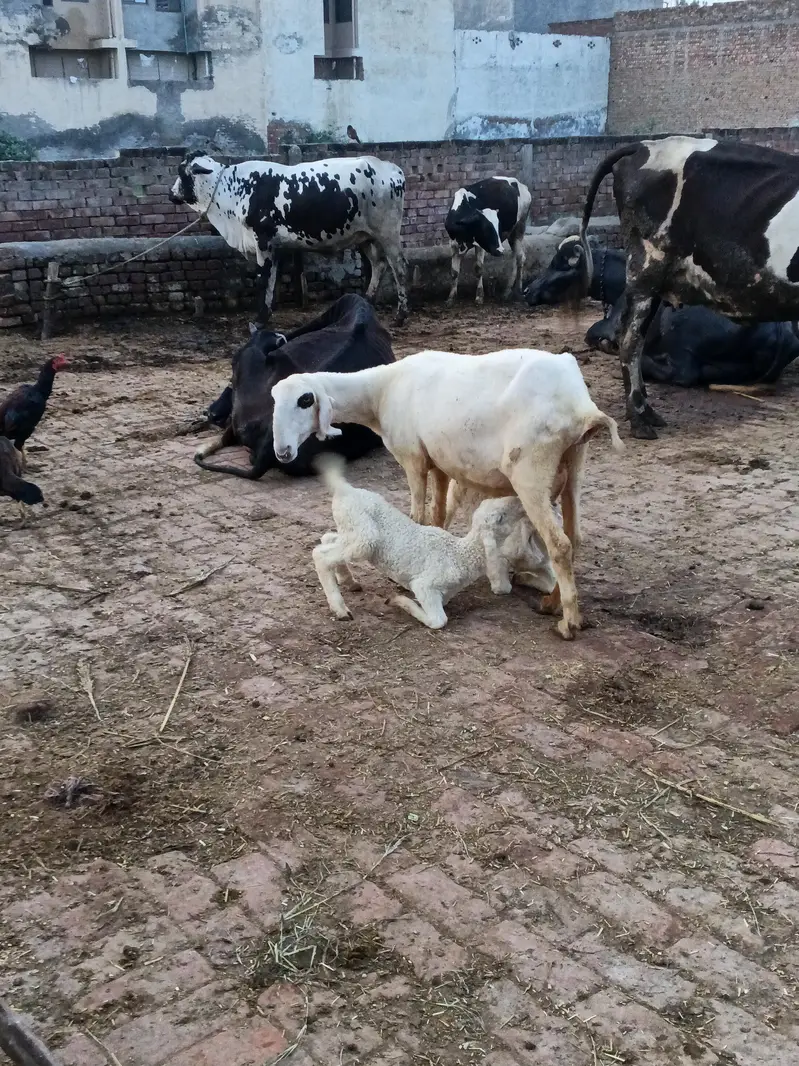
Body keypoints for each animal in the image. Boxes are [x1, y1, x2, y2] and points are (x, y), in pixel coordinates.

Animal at [311, 455, 525, 629]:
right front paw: (399, 601)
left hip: (351, 528)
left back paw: (347, 579)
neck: (460, 554)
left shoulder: (442, 593)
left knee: (328, 539)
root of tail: (345, 489)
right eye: (500, 517)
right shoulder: (426, 584)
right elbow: (439, 620)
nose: (520, 502)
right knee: (320, 555)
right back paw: (340, 608)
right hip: (363, 535)